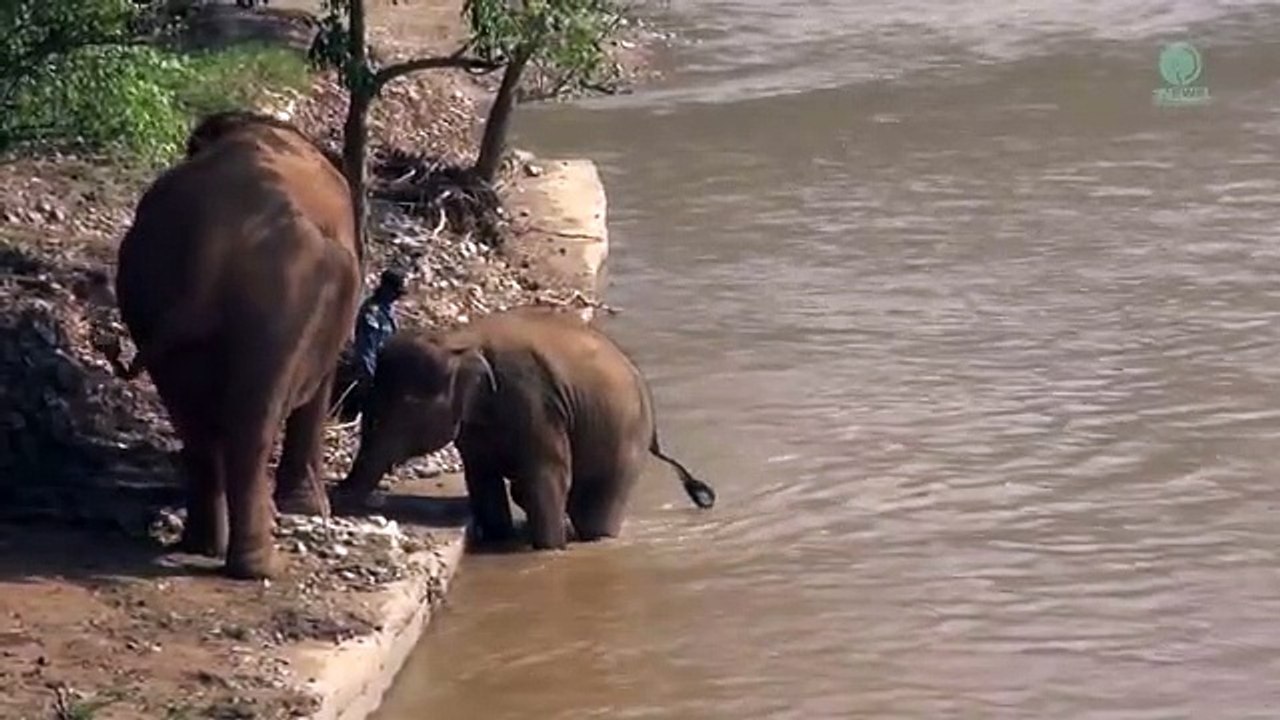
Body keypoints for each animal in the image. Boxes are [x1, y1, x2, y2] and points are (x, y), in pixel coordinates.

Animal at [107, 110, 362, 579]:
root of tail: (213, 246)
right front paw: (310, 509)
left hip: (156, 296)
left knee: (195, 423)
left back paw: (206, 545)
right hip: (281, 303)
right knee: (253, 423)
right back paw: (259, 566)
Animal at [331, 306, 717, 549]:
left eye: (409, 405)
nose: (334, 492)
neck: (458, 338)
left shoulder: (534, 402)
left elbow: (545, 480)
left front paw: (548, 550)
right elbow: (481, 477)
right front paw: (500, 538)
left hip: (623, 443)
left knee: (592, 512)